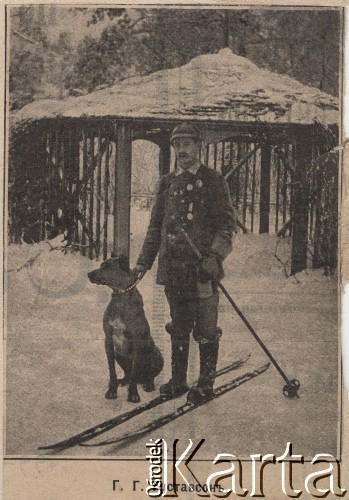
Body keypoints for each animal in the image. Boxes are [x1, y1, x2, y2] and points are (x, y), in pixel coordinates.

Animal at [87, 256, 163, 404]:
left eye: (107, 266)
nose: (88, 274)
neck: (120, 295)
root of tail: (141, 379)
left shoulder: (136, 344)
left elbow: (133, 374)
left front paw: (133, 394)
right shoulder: (109, 340)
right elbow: (112, 371)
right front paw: (112, 390)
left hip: (156, 355)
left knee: (148, 375)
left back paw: (148, 384)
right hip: (119, 354)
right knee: (128, 374)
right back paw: (122, 381)